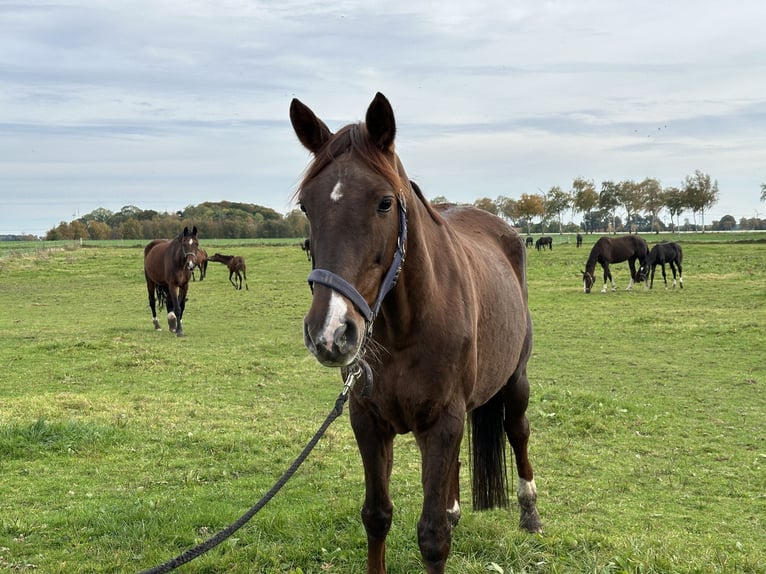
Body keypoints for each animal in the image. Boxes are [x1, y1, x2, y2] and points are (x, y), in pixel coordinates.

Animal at [292, 92, 544, 572]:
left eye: (384, 203)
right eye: (306, 206)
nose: (330, 333)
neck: (404, 330)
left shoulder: (442, 422)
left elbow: (432, 537)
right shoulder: (368, 421)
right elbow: (376, 516)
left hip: (515, 379)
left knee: (517, 429)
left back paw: (530, 513)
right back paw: (456, 508)